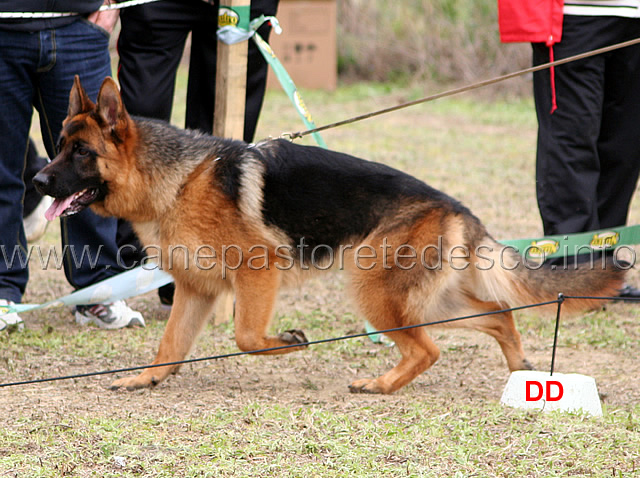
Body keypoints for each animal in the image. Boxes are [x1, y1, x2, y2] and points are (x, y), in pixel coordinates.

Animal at [32, 77, 624, 392]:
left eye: (81, 153)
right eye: (58, 146)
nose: (35, 180)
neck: (175, 180)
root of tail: (455, 206)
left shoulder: (256, 273)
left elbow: (246, 338)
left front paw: (287, 343)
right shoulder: (196, 291)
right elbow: (169, 346)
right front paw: (145, 381)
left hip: (375, 291)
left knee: (429, 349)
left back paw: (380, 385)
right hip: (428, 300)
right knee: (498, 314)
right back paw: (520, 368)